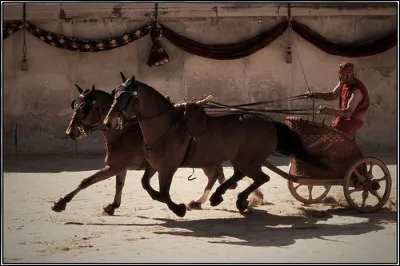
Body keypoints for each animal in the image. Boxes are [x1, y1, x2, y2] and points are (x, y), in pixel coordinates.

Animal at [51, 84, 252, 215]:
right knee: (216, 174)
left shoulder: (118, 166)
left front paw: (61, 203)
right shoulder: (121, 167)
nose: (70, 132)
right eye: (74, 106)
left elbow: (87, 181)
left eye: (84, 108)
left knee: (215, 175)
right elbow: (119, 184)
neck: (123, 132)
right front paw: (113, 205)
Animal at [102, 72, 328, 216]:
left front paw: (178, 208)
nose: (108, 122)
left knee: (260, 178)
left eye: (125, 97)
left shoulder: (167, 168)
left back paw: (232, 198)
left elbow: (165, 193)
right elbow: (146, 185)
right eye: (114, 95)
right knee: (239, 176)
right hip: (239, 159)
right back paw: (220, 197)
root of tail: (268, 122)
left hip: (250, 160)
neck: (166, 127)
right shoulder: (154, 166)